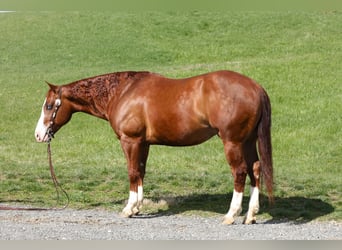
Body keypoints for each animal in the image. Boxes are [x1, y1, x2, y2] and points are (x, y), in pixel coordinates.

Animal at [35, 70, 272, 225]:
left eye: (49, 106)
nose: (39, 135)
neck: (123, 92)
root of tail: (255, 87)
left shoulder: (130, 140)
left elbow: (132, 172)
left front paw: (128, 208)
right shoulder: (143, 143)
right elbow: (140, 171)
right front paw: (138, 207)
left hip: (233, 142)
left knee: (240, 172)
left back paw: (231, 215)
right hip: (248, 141)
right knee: (255, 169)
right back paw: (250, 214)